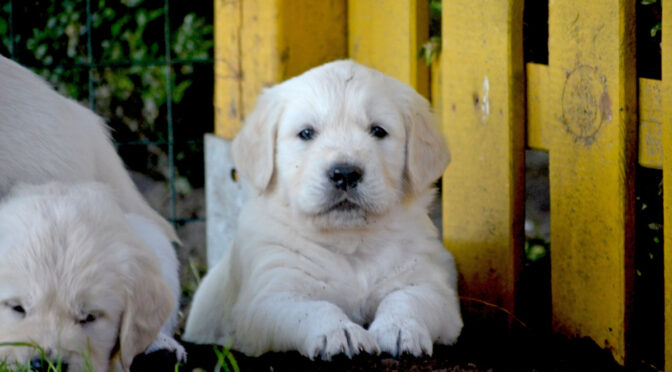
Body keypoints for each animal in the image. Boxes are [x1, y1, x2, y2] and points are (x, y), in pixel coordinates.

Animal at [184, 61, 462, 360]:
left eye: (378, 131)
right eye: (306, 133)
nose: (345, 173)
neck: (350, 242)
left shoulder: (429, 283)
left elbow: (408, 298)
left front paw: (399, 328)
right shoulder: (270, 294)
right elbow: (314, 308)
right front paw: (341, 333)